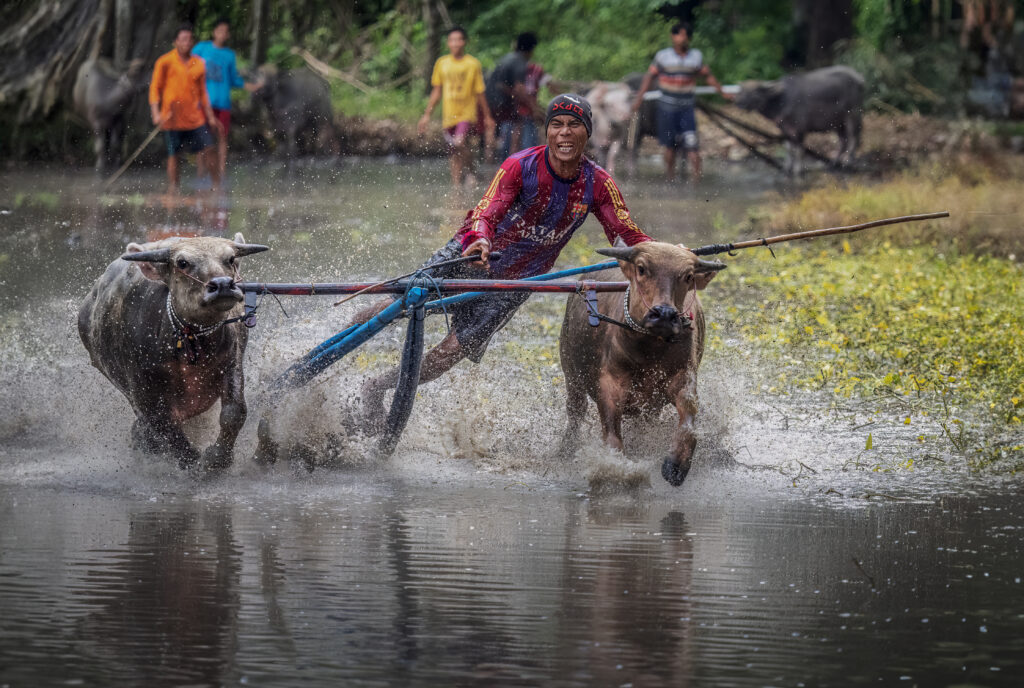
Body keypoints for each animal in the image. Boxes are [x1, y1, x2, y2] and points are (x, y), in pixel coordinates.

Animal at [77, 233, 270, 470]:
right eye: (182, 263)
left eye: (231, 258)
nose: (223, 284)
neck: (191, 341)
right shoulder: (143, 390)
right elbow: (167, 430)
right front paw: (195, 464)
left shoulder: (231, 364)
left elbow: (234, 413)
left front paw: (217, 458)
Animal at [561, 239, 729, 487]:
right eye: (641, 268)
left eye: (688, 275)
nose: (664, 314)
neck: (650, 349)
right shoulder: (610, 383)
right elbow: (611, 429)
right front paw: (616, 468)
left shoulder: (682, 377)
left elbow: (688, 414)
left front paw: (676, 465)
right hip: (571, 375)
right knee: (575, 412)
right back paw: (564, 449)